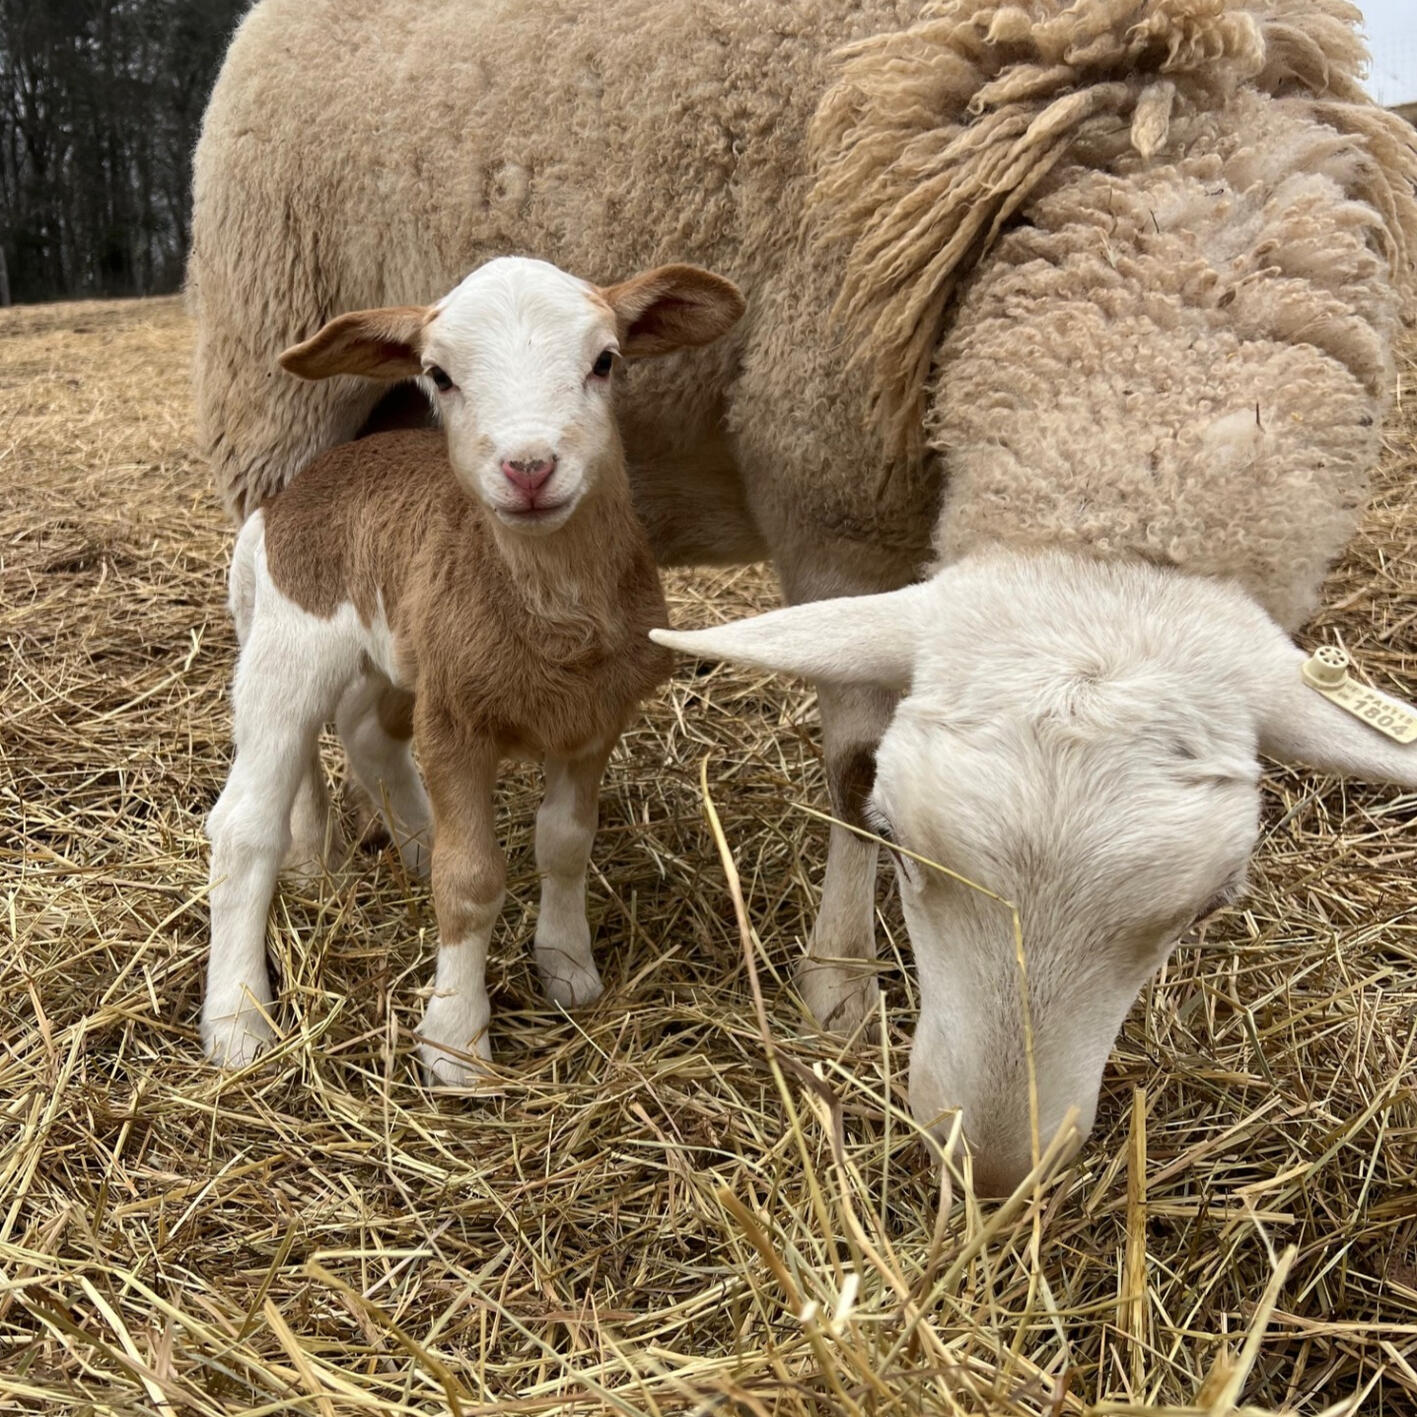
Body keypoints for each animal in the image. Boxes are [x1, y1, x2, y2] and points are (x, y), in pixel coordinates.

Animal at [202, 257, 744, 1082]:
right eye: (438, 375)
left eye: (605, 360)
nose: (529, 467)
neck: (551, 614)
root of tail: (294, 491)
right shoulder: (456, 719)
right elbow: (470, 880)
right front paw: (456, 1040)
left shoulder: (592, 719)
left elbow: (564, 842)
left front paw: (567, 965)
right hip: (289, 639)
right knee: (244, 822)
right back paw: (237, 1019)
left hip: (397, 646)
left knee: (366, 732)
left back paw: (411, 839)